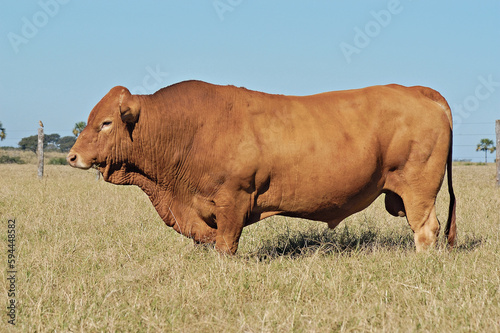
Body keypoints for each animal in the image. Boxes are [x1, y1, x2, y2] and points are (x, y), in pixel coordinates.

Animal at [67, 80, 458, 252]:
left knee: (427, 229)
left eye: (105, 123)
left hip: (419, 190)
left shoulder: (233, 199)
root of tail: (418, 90)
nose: (72, 156)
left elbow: (225, 243)